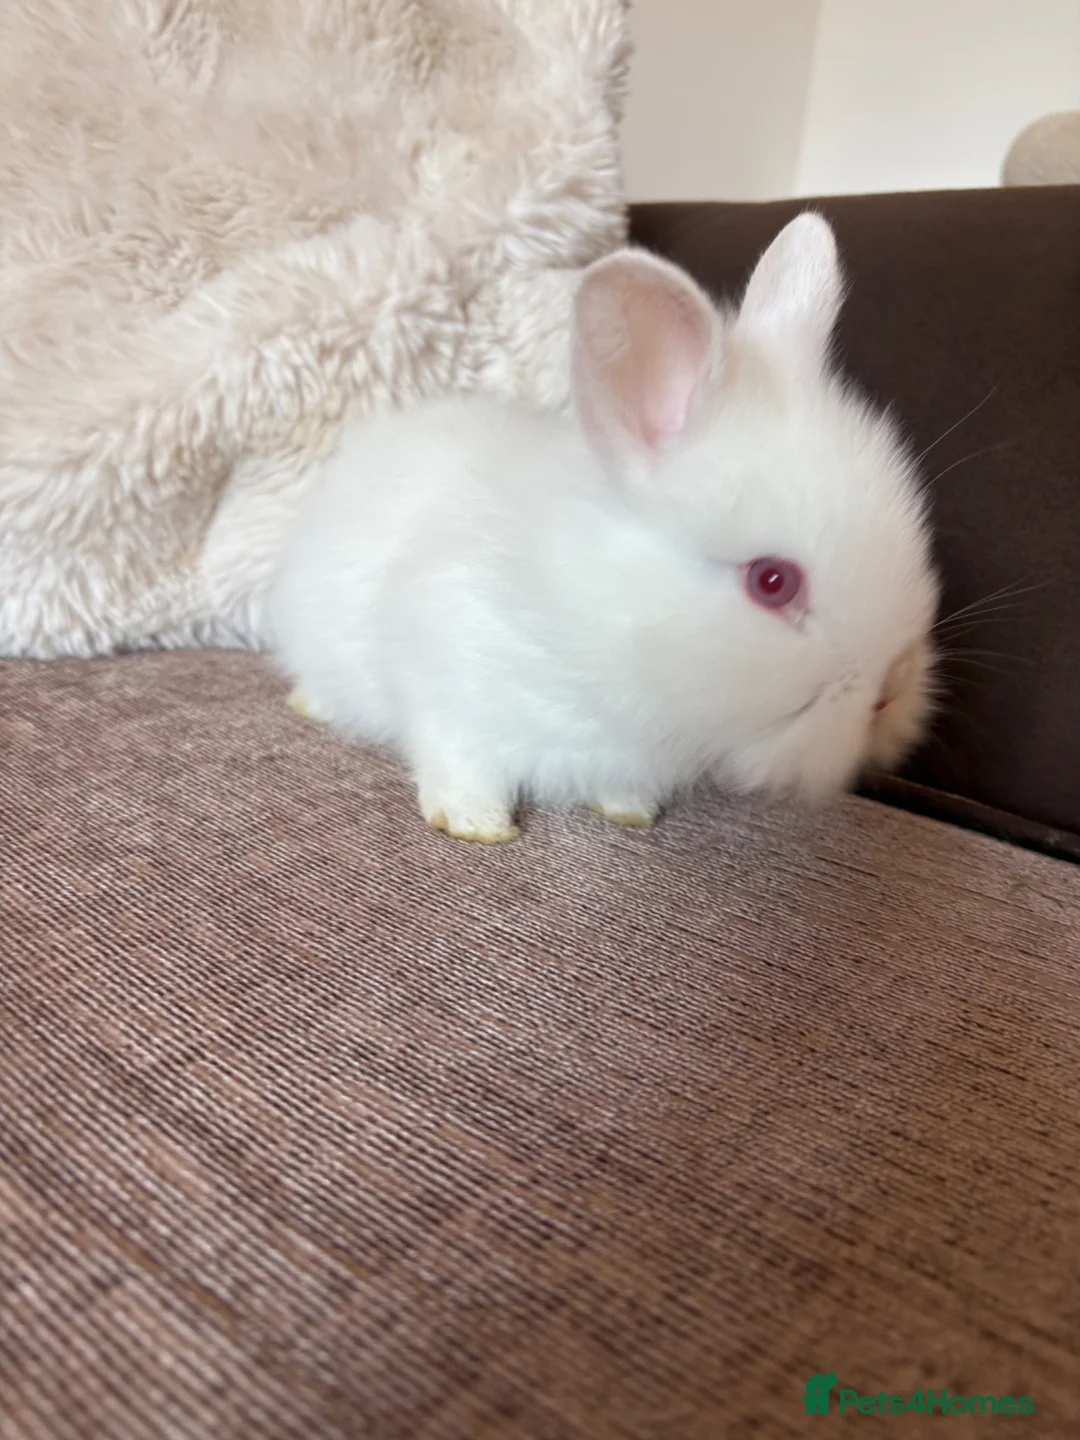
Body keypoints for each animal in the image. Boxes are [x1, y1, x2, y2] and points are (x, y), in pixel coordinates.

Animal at [266, 212, 939, 844]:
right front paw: (478, 825)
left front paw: (629, 812)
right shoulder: (449, 683)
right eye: (772, 581)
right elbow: (459, 765)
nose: (890, 690)